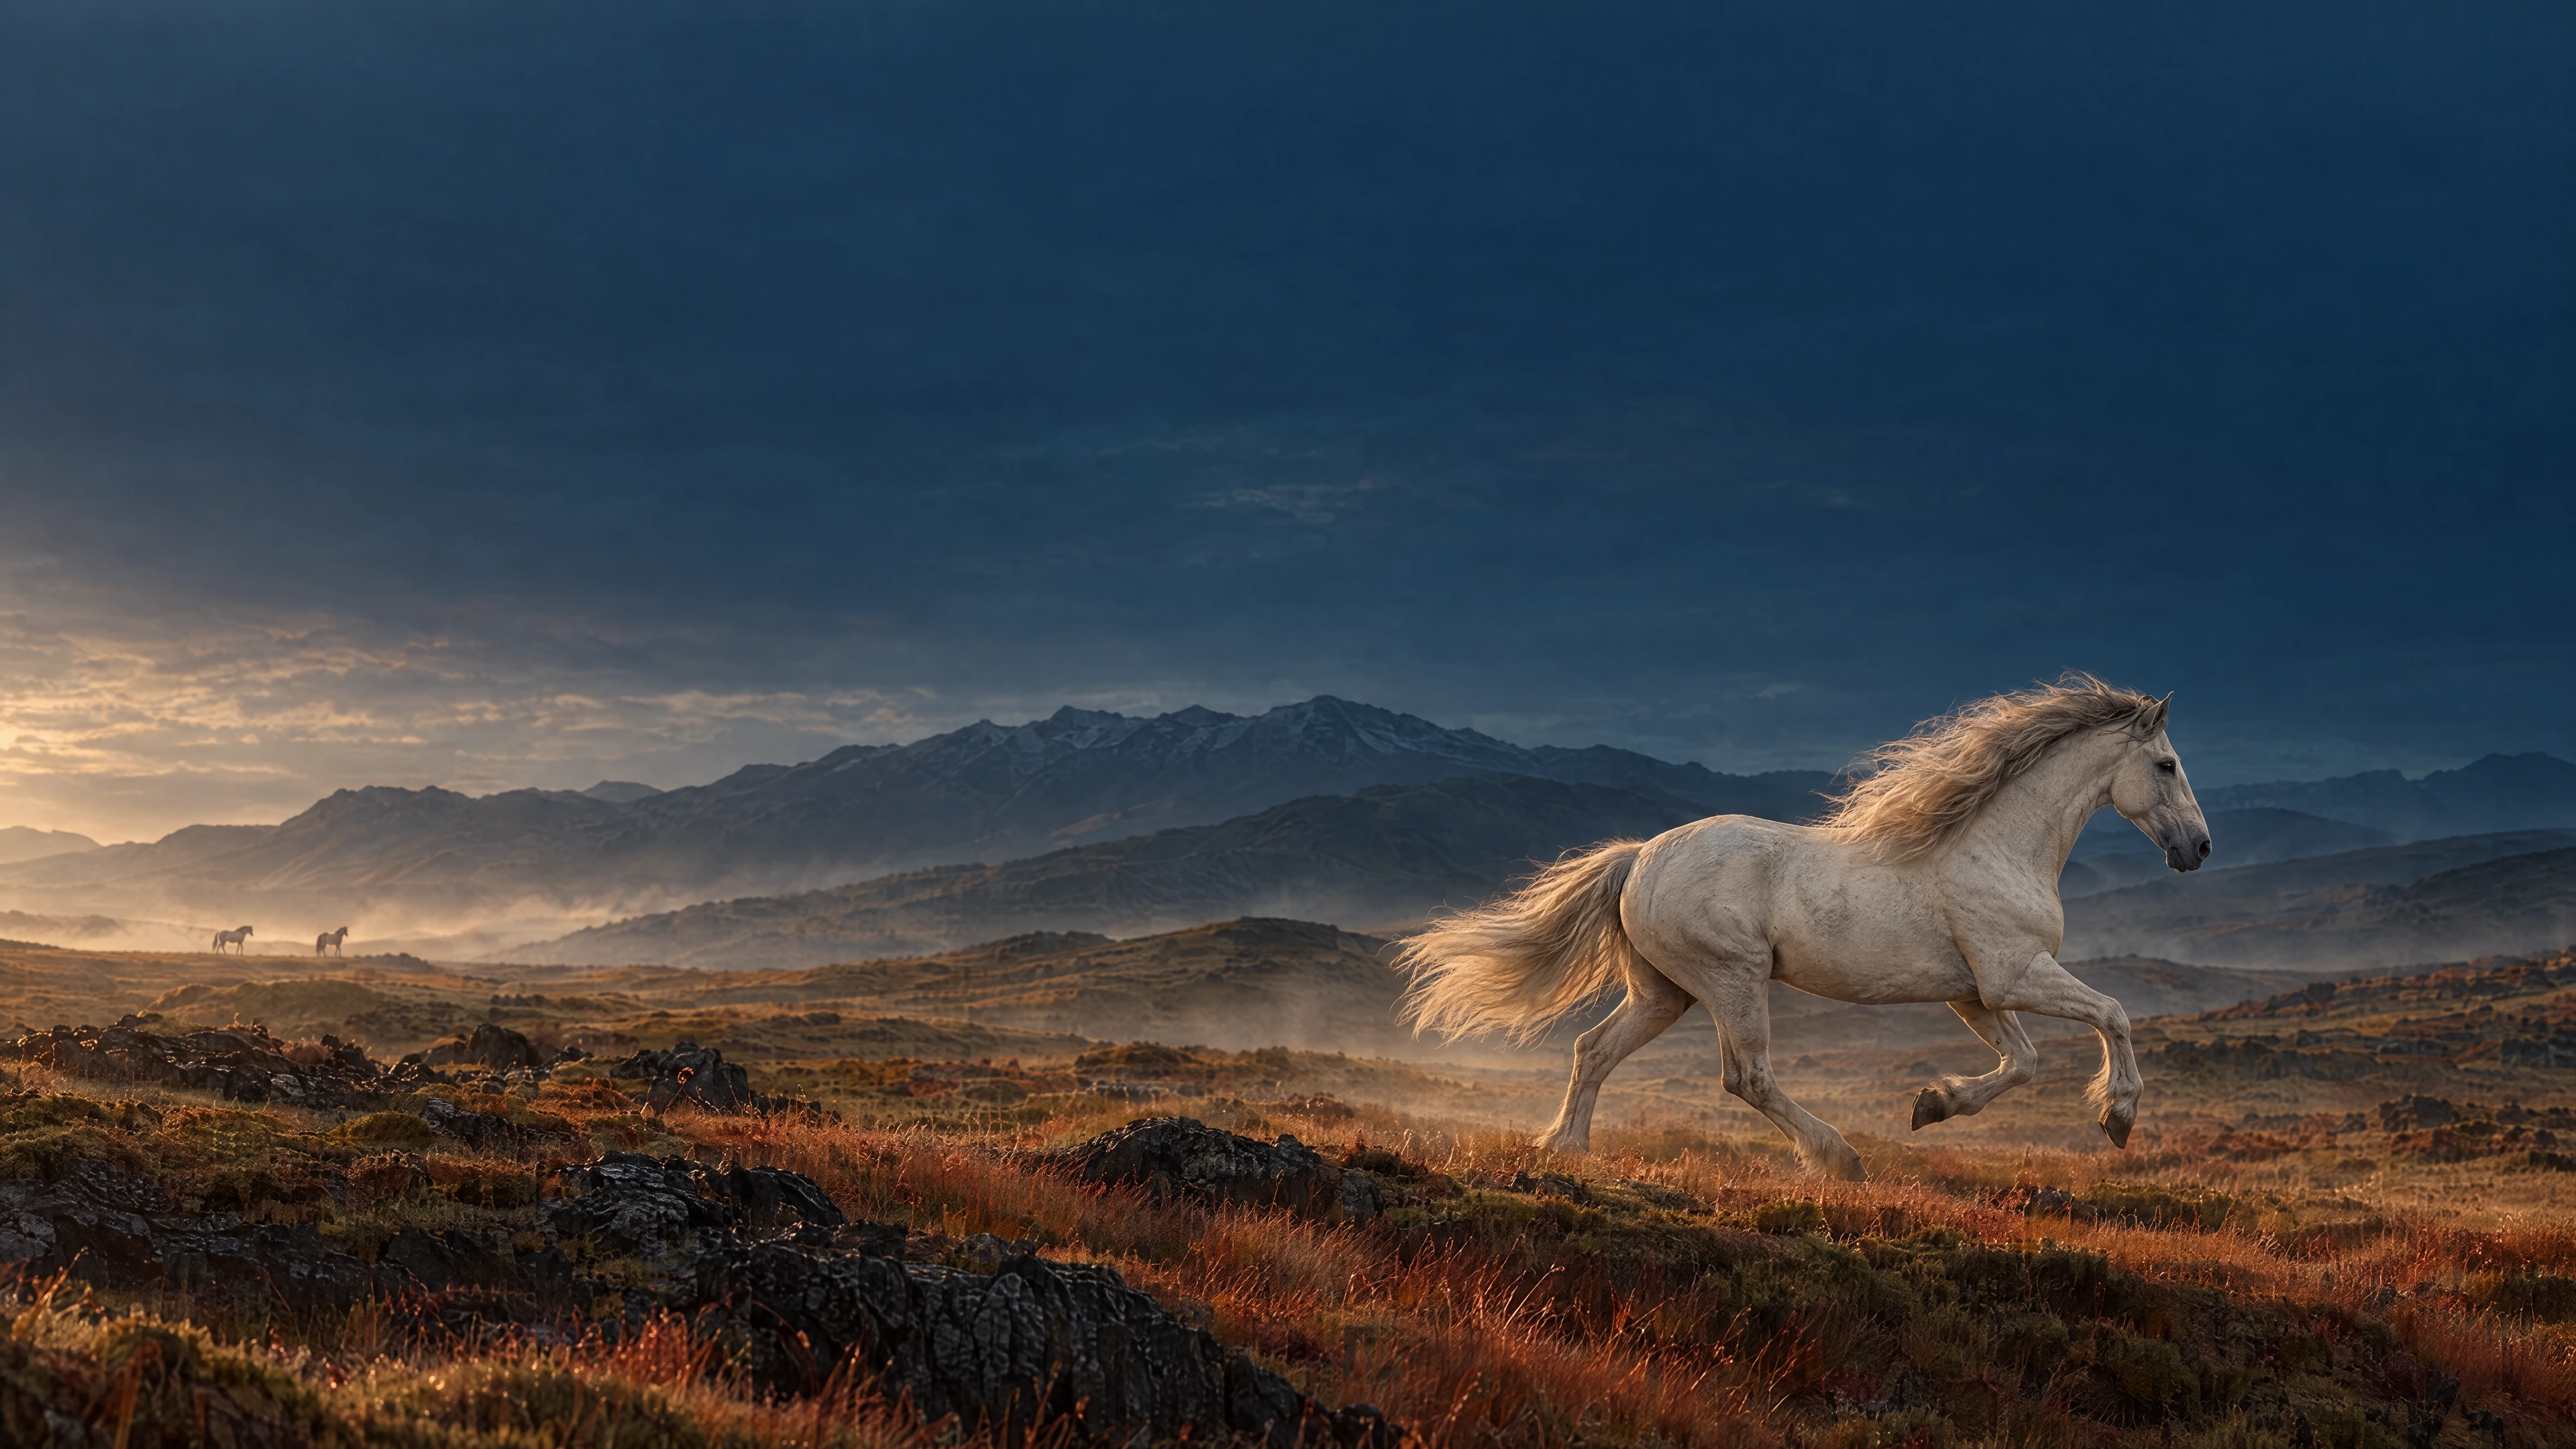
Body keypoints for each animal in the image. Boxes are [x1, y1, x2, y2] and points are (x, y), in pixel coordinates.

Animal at [1400, 674, 2212, 1181]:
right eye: (2168, 765)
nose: (2198, 849)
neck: (1996, 847)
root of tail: (1638, 859)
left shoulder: (1976, 993)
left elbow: (2024, 1063)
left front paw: (1934, 1105)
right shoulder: (2015, 976)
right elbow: (2114, 1014)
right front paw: (2119, 1116)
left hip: (1664, 991)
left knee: (1593, 1050)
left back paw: (1567, 1149)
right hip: (1733, 977)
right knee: (1747, 1077)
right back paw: (1841, 1160)